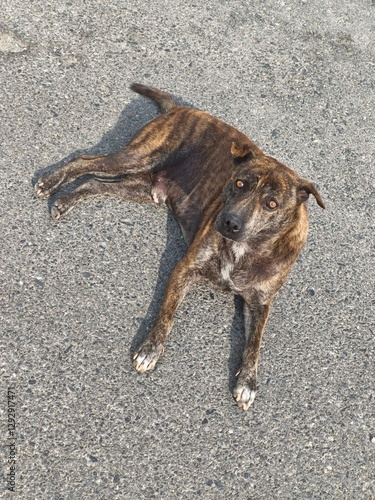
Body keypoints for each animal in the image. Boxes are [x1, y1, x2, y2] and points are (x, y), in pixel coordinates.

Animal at [33, 83, 324, 410]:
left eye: (271, 204)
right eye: (239, 184)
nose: (229, 222)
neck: (248, 248)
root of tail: (180, 109)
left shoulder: (260, 304)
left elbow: (255, 343)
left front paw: (248, 382)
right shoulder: (185, 269)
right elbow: (167, 314)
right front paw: (150, 350)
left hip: (140, 187)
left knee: (94, 182)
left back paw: (65, 200)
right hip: (139, 157)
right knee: (85, 161)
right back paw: (50, 182)